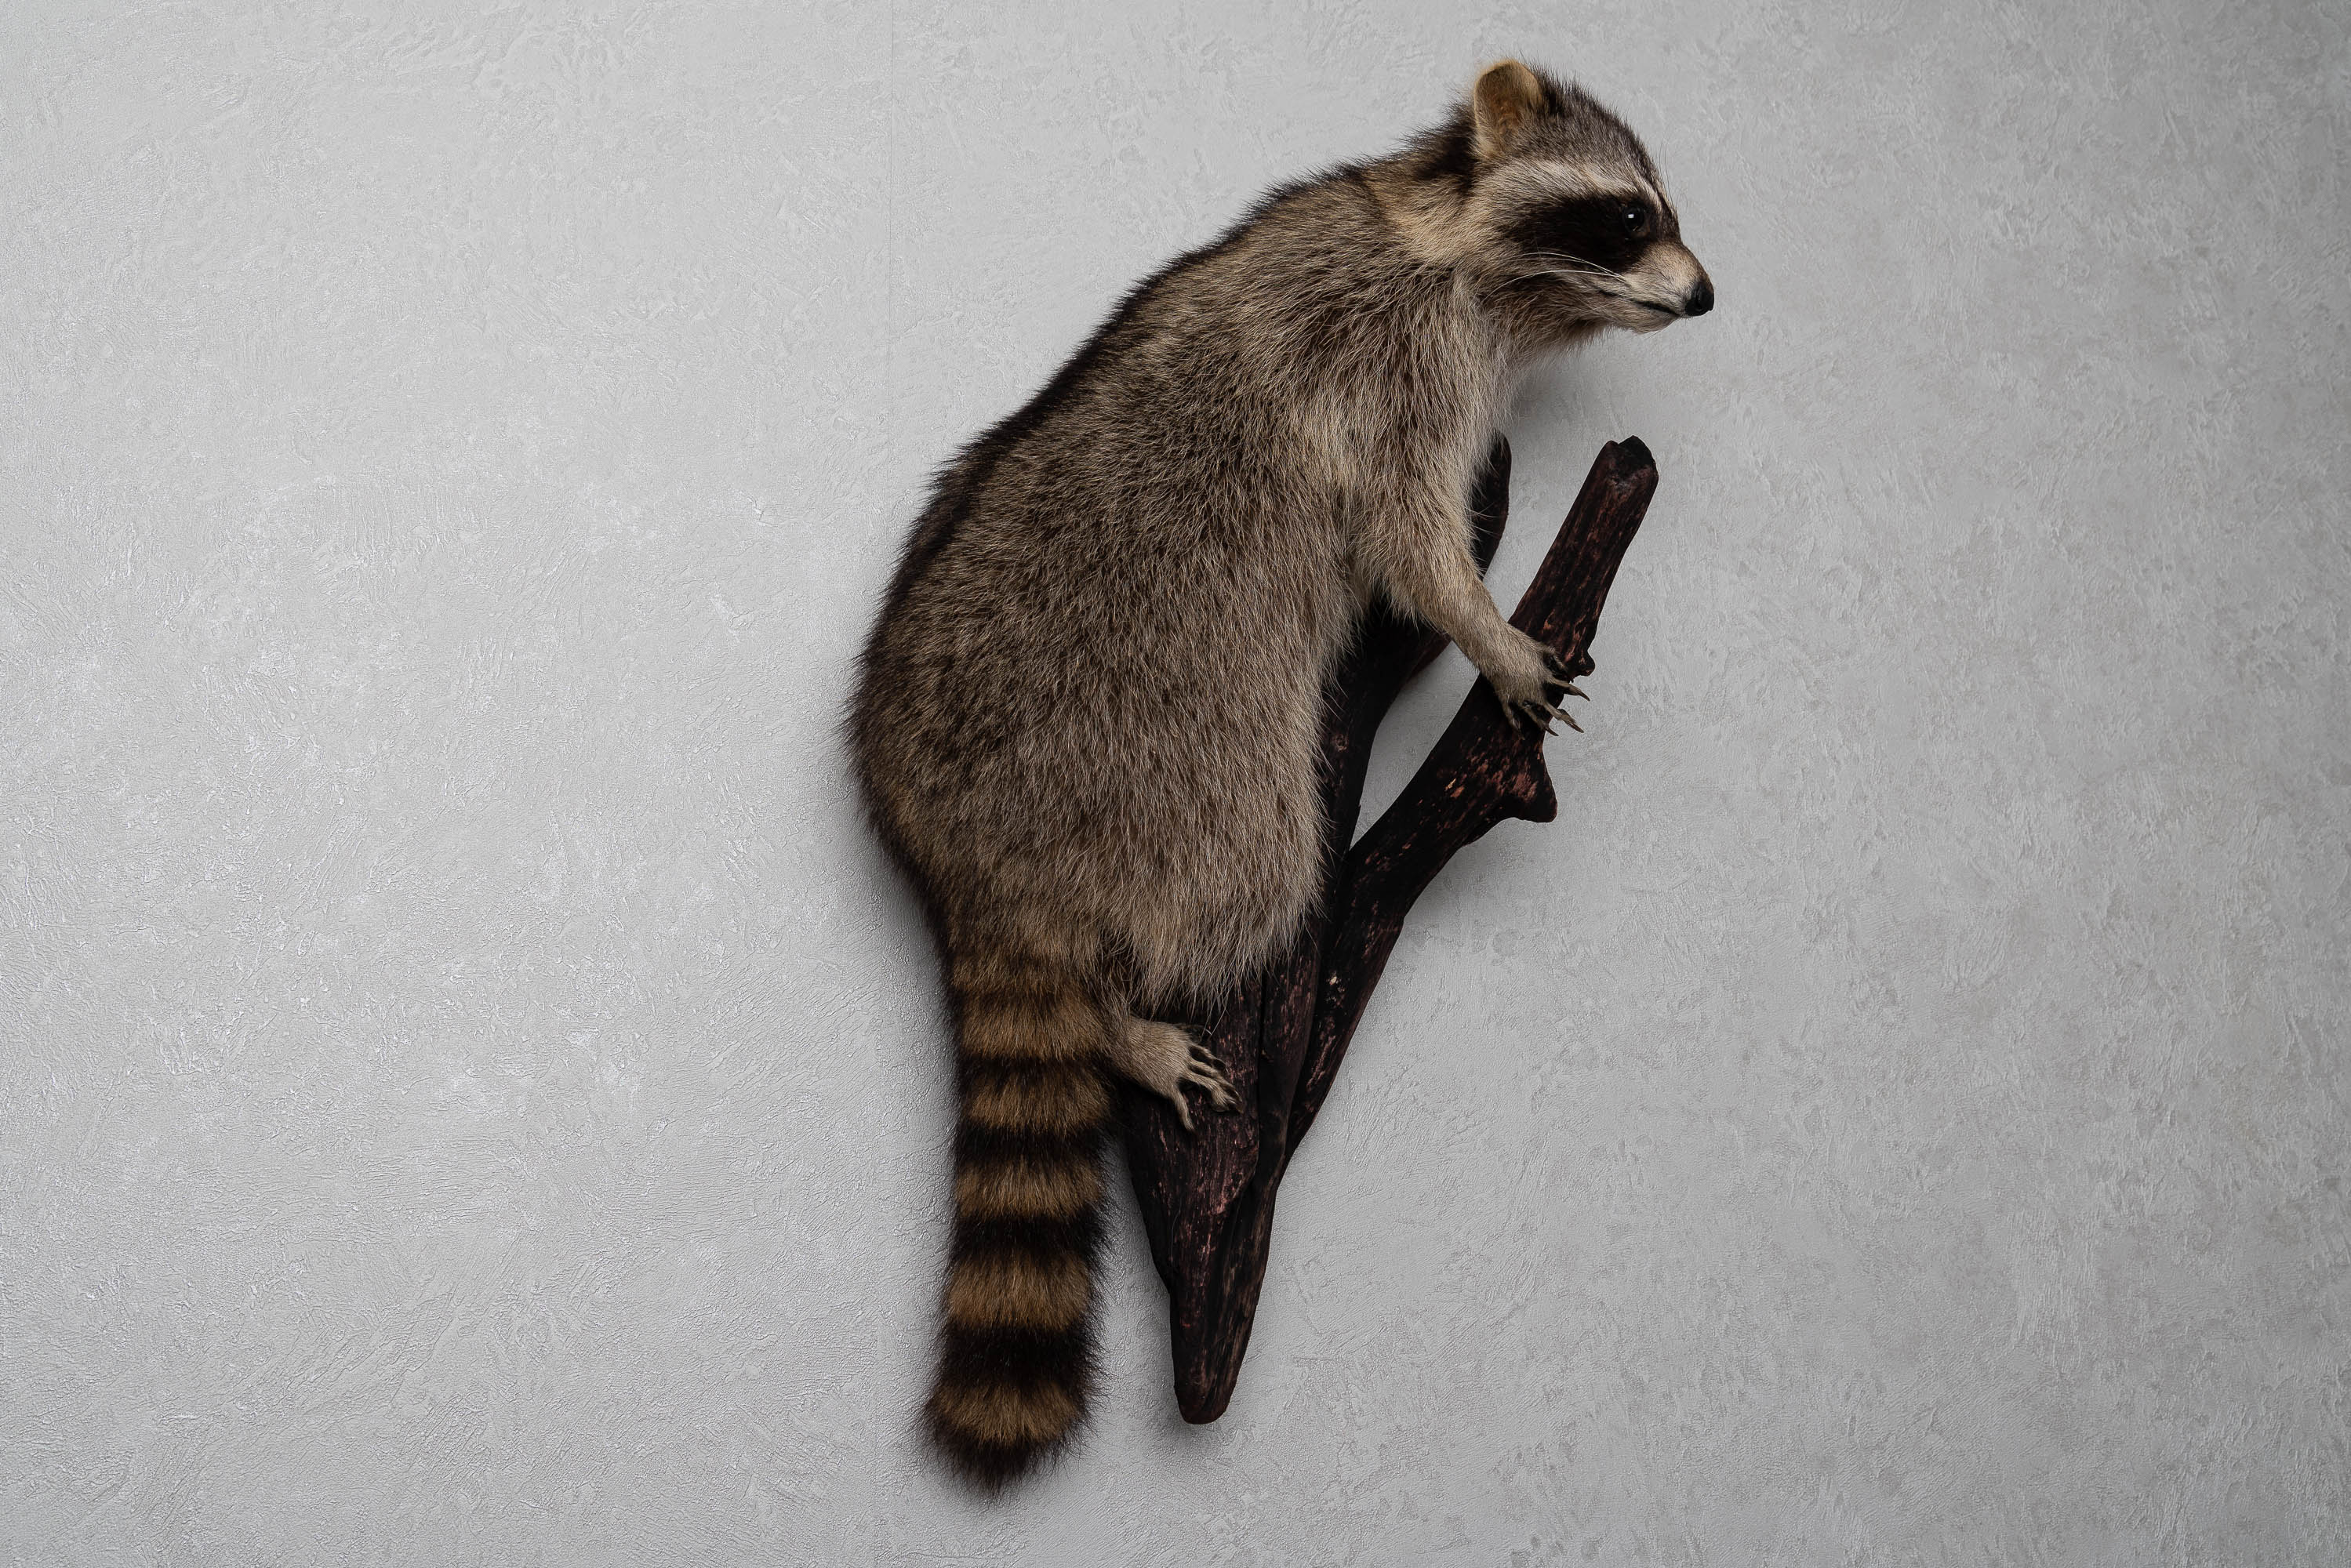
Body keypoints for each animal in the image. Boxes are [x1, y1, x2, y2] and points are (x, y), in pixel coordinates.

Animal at [849, 60, 1709, 1486]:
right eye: (1624, 216)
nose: (1702, 295)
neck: (1455, 250)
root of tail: (968, 854)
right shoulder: (1397, 370)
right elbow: (1408, 536)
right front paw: (1492, 634)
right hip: (1167, 752)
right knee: (1258, 867)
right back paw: (1121, 1020)